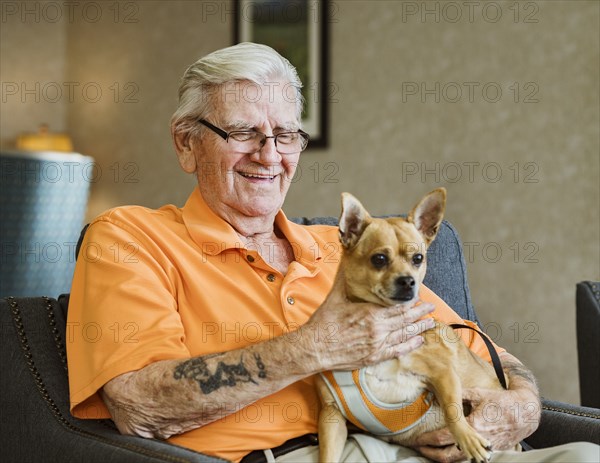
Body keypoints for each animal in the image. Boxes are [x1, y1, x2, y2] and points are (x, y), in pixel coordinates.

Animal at [314, 188, 506, 463]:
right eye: (379, 259)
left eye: (418, 258)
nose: (408, 281)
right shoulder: (332, 415)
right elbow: (327, 455)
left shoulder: (444, 374)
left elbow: (453, 409)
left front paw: (468, 439)